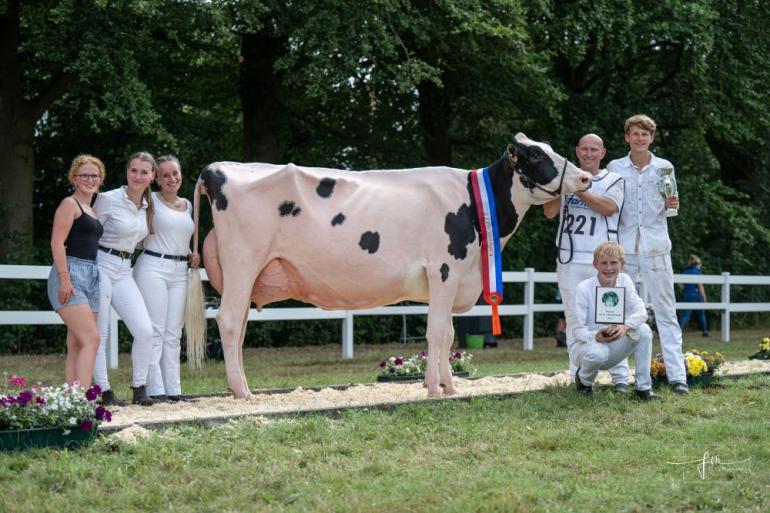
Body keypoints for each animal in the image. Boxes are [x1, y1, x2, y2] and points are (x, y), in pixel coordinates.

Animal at [192, 132, 588, 396]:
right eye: (536, 153)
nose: (585, 177)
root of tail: (217, 169)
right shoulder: (444, 269)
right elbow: (437, 333)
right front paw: (433, 388)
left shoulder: (451, 279)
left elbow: (449, 335)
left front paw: (450, 386)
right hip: (243, 262)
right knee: (229, 321)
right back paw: (243, 392)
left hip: (246, 274)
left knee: (240, 325)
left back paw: (241, 387)